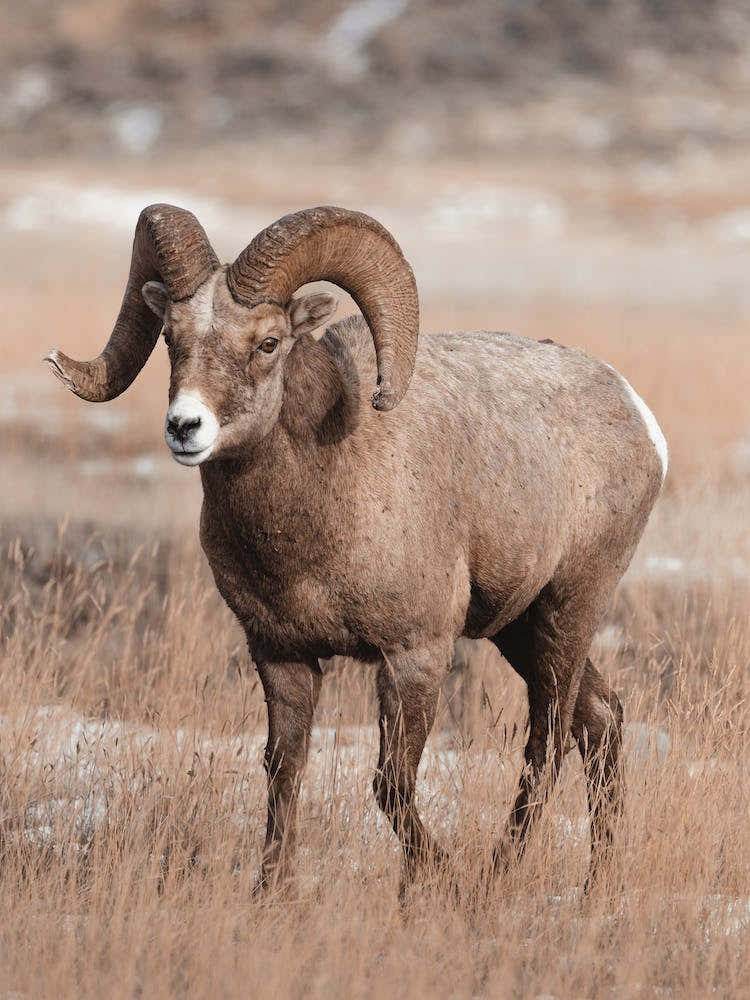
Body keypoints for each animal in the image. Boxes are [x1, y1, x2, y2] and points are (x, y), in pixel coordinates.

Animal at [45, 203, 667, 896]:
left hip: (567, 609)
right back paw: (595, 887)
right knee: (603, 720)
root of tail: (639, 417)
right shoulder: (283, 657)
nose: (185, 427)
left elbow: (390, 785)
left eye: (268, 343)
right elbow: (283, 773)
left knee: (549, 743)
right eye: (172, 339)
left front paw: (441, 878)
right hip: (520, 628)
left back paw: (496, 876)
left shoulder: (413, 656)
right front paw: (270, 892)